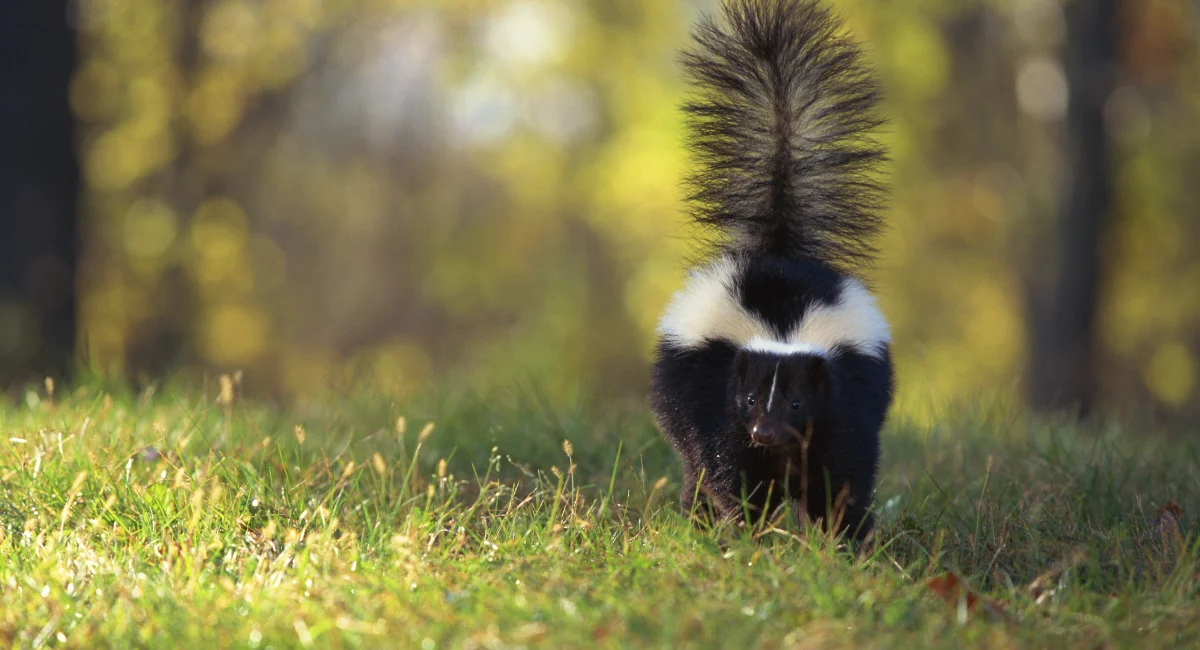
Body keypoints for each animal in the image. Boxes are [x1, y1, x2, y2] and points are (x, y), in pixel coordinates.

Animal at [649, 0, 894, 541]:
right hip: (678, 387)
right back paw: (698, 518)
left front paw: (840, 538)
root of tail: (777, 250)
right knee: (692, 464)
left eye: (797, 403)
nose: (764, 431)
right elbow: (728, 467)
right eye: (750, 400)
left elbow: (841, 474)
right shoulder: (717, 395)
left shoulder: (846, 400)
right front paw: (750, 529)